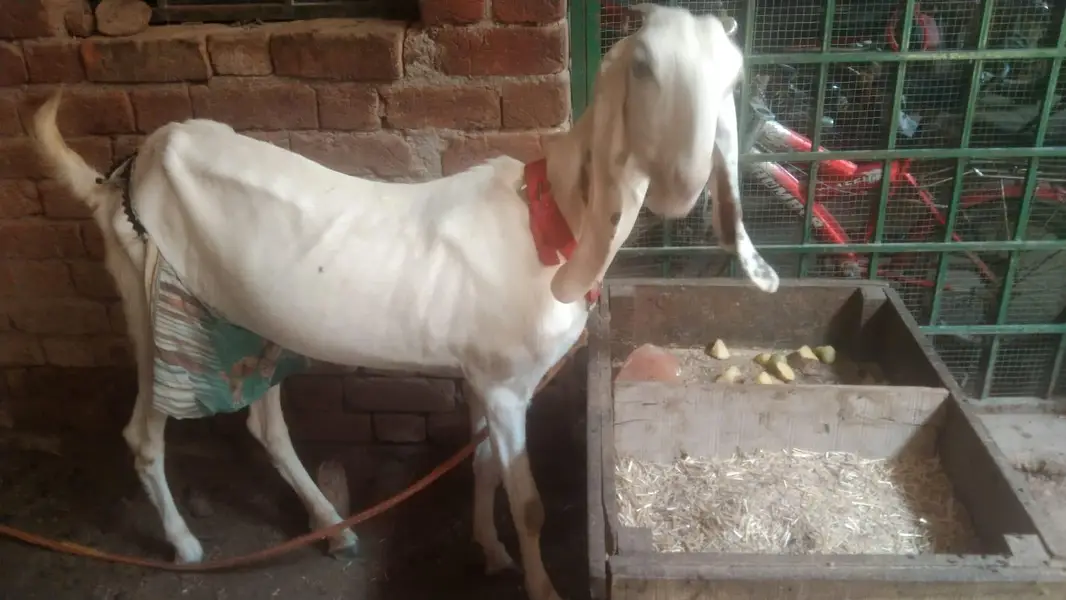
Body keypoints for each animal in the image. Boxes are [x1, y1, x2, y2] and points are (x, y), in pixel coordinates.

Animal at [30, 5, 778, 600]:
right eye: (645, 68)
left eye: (732, 80)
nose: (683, 184)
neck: (552, 223)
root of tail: (120, 178)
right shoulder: (505, 383)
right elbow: (529, 501)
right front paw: (541, 585)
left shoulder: (479, 376)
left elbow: (483, 467)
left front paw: (490, 551)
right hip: (153, 309)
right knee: (144, 435)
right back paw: (186, 545)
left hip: (247, 321)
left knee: (266, 425)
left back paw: (333, 527)